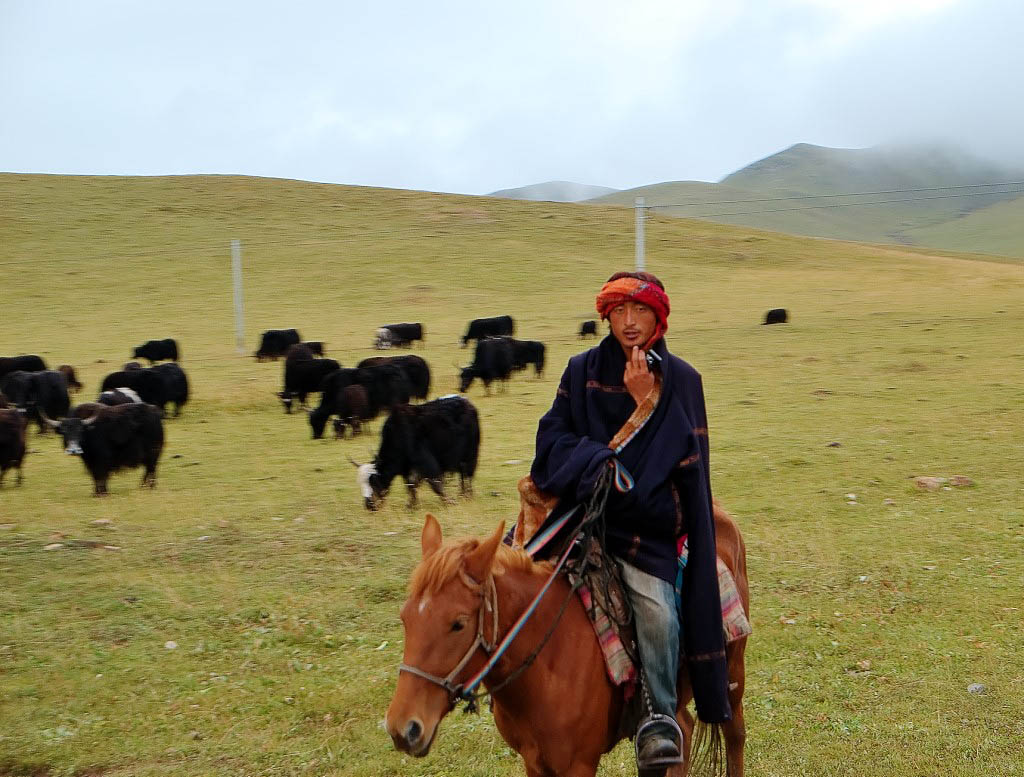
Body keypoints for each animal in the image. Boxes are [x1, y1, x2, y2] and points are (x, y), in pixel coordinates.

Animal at [387, 507, 749, 773]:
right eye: (405, 618)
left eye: (458, 624)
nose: (403, 729)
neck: (547, 664)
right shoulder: (534, 762)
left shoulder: (577, 764)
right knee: (682, 732)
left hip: (731, 676)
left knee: (734, 736)